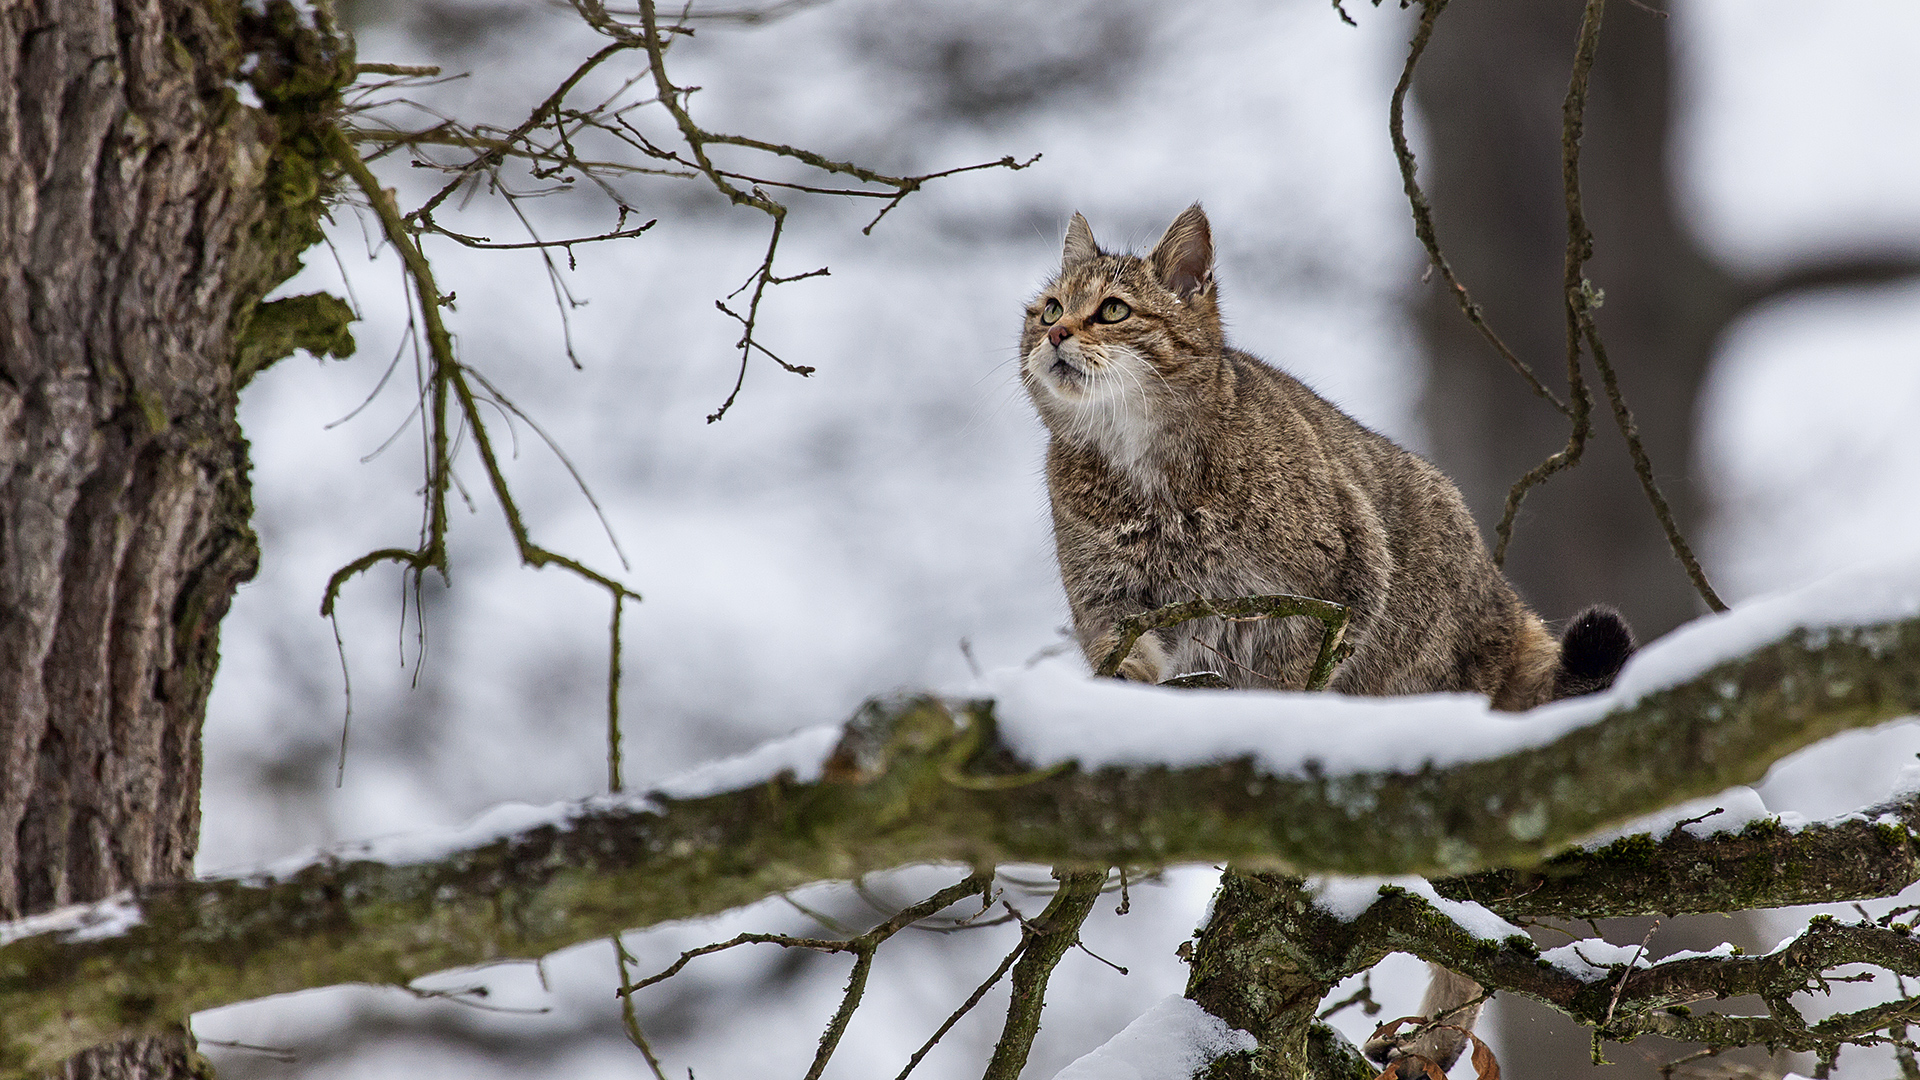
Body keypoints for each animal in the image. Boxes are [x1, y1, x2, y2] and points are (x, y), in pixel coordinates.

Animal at [1021, 203, 1635, 1068]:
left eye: (1110, 310)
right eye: (1047, 306)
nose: (1052, 333)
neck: (1139, 464)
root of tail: (1510, 608)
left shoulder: (1330, 591)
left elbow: (1287, 687)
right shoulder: (1112, 611)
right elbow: (1131, 671)